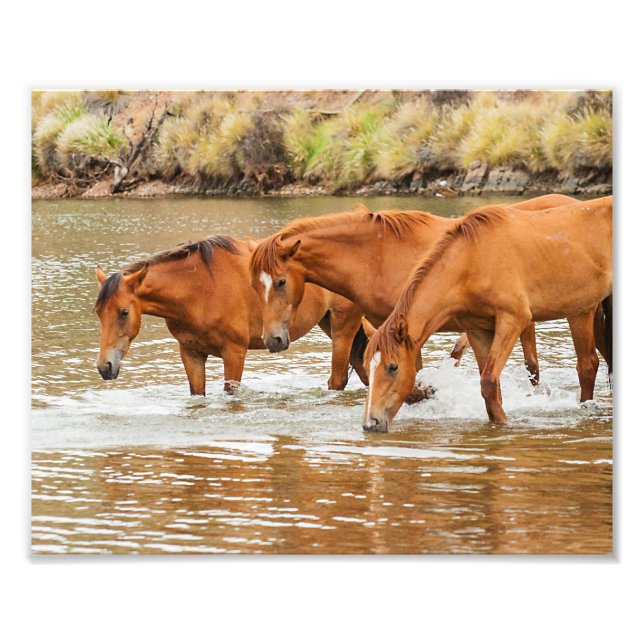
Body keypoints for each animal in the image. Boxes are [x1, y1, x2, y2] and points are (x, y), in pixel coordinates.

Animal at [94, 235, 368, 395]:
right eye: (98, 313)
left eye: (124, 312)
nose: (104, 367)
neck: (199, 289)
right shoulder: (191, 354)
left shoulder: (234, 353)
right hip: (329, 323)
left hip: (343, 327)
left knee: (338, 380)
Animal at [362, 196, 612, 430]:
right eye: (366, 368)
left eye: (393, 367)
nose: (371, 423)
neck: (471, 261)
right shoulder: (477, 329)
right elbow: (491, 387)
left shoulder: (513, 320)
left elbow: (489, 382)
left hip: (582, 311)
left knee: (588, 366)